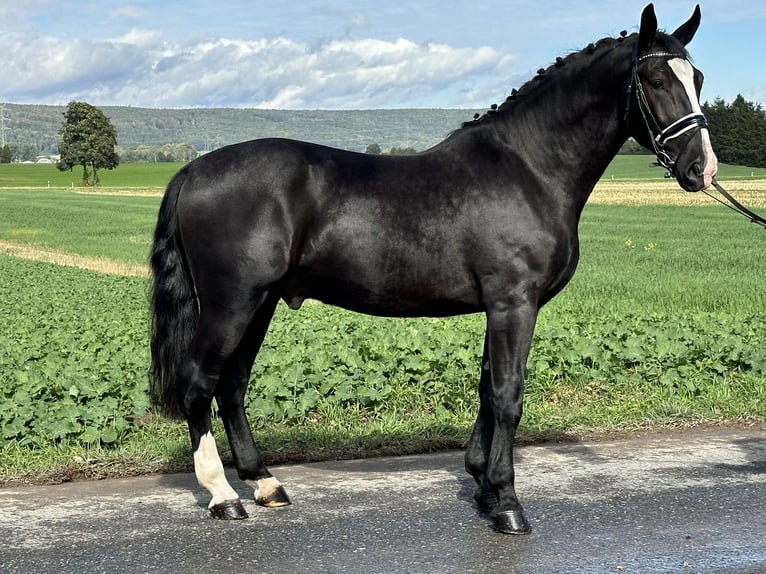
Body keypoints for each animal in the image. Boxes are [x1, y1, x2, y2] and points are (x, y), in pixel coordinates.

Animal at [152, 4, 720, 536]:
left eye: (698, 78)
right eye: (656, 80)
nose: (702, 168)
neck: (528, 169)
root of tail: (195, 168)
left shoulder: (500, 307)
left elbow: (488, 389)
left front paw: (484, 488)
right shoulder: (514, 303)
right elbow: (508, 396)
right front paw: (508, 504)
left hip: (261, 301)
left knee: (233, 382)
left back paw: (264, 483)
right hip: (231, 301)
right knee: (199, 380)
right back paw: (223, 494)